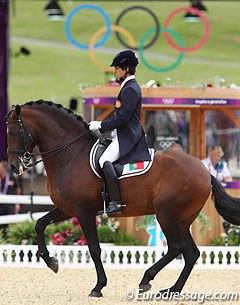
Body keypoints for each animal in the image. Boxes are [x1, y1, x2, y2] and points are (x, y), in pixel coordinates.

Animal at [6, 100, 240, 296]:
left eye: (13, 131)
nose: (13, 167)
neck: (71, 154)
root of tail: (204, 171)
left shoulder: (84, 212)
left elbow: (94, 249)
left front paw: (98, 287)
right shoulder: (66, 209)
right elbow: (39, 224)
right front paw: (51, 261)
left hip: (166, 214)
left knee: (176, 247)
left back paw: (146, 279)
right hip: (183, 220)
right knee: (191, 253)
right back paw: (172, 290)